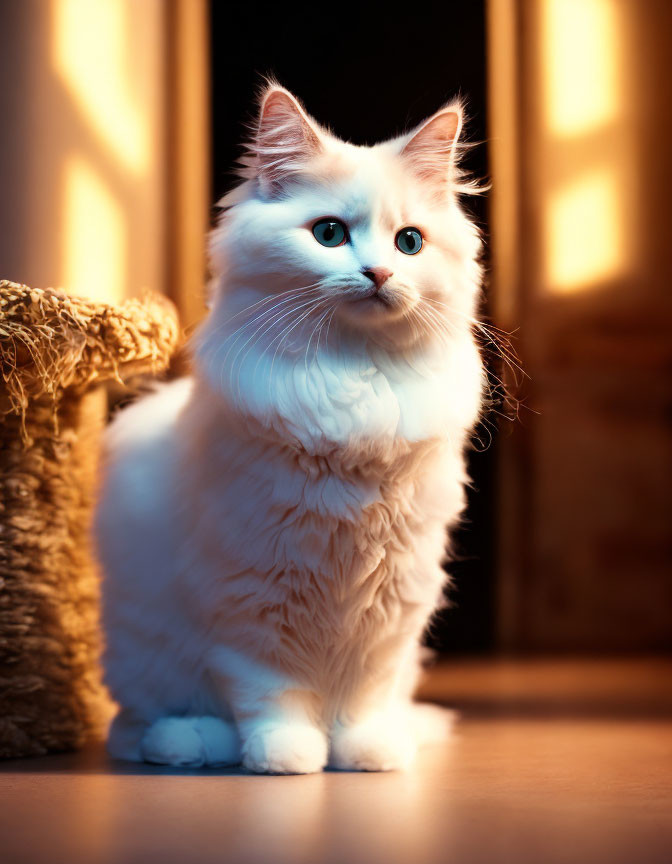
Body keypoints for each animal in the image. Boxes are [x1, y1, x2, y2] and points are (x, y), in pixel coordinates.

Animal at [96, 84, 484, 772]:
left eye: (409, 243)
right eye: (329, 233)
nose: (380, 274)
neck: (354, 381)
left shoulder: (391, 604)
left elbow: (365, 695)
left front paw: (365, 755)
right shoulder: (248, 593)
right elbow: (271, 690)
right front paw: (287, 757)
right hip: (149, 657)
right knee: (138, 728)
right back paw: (194, 744)